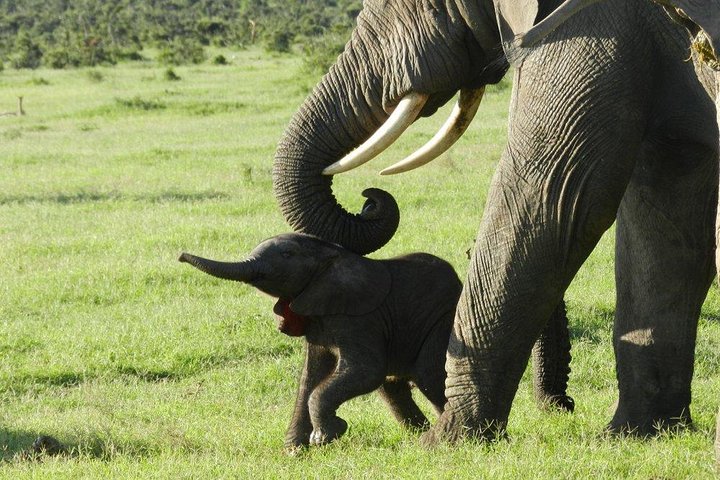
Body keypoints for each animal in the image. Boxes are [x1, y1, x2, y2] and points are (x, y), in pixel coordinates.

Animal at [179, 232, 574, 448]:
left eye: (287, 256)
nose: (181, 255)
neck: (329, 254)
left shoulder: (359, 318)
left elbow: (362, 372)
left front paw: (327, 436)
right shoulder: (315, 314)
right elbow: (310, 377)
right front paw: (295, 449)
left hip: (440, 323)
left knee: (429, 376)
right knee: (393, 385)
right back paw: (419, 433)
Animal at [271, 0, 719, 443]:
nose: (369, 199)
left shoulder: (595, 27)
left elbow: (551, 197)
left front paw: (448, 442)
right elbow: (661, 220)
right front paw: (640, 434)